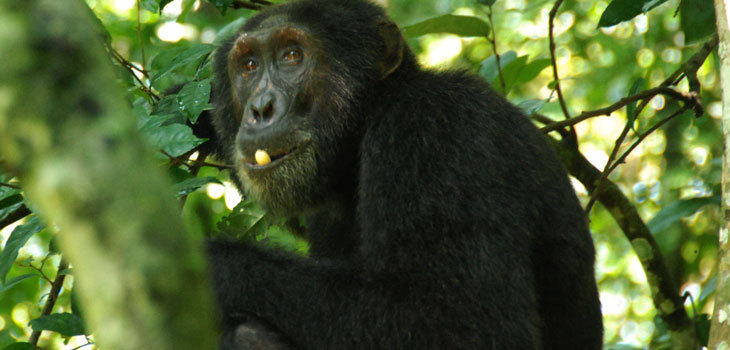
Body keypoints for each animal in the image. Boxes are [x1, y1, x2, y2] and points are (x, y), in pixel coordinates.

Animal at [205, 0, 604, 348]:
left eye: (291, 56)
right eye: (249, 65)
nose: (261, 108)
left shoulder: (438, 133)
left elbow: (458, 321)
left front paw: (213, 262)